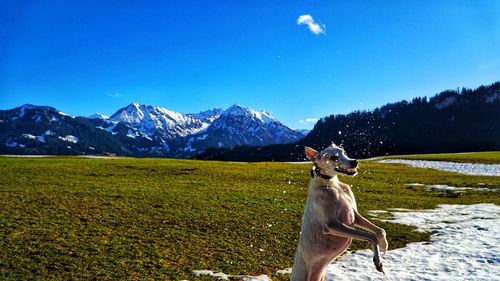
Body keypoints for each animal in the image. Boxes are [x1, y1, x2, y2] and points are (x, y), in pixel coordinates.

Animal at [292, 144, 388, 280]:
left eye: (344, 152)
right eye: (333, 157)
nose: (354, 162)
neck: (332, 185)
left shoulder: (355, 216)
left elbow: (380, 230)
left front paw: (384, 245)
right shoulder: (331, 225)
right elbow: (371, 236)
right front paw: (378, 261)